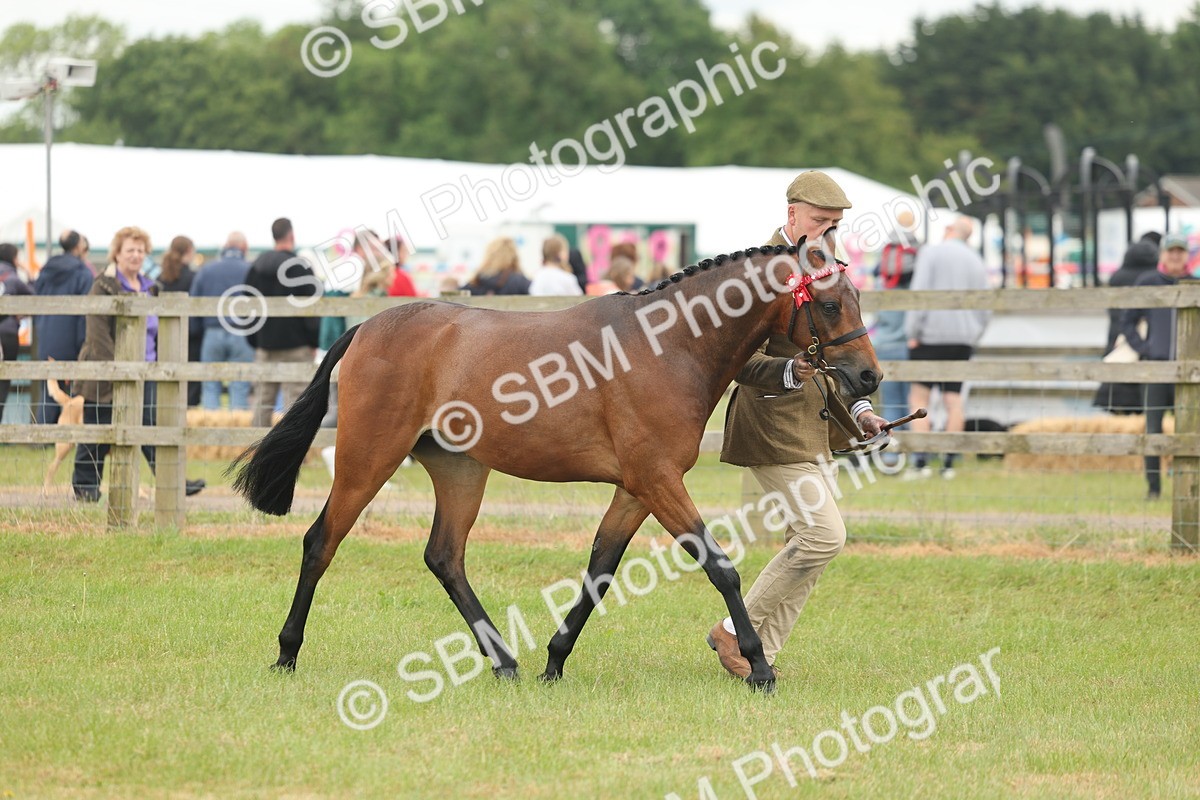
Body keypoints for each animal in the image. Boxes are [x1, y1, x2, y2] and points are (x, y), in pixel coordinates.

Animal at [231, 235, 881, 692]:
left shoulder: (637, 489)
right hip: (368, 458)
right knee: (322, 541)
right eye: (828, 304)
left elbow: (600, 570)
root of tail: (368, 326)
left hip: (461, 470)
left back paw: (505, 662)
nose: (870, 377)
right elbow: (721, 568)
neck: (667, 346)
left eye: (855, 298)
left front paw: (554, 662)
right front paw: (759, 666)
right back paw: (287, 652)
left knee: (444, 556)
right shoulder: (658, 480)